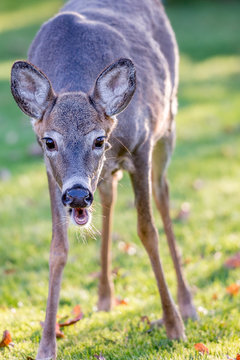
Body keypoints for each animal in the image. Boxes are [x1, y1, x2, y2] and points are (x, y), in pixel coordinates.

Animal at [9, 0, 197, 358]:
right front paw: (46, 345)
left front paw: (174, 326)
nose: (77, 196)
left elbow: (147, 232)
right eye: (49, 141)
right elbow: (57, 248)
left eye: (99, 139)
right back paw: (105, 297)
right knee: (110, 195)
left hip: (168, 123)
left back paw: (187, 304)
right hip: (108, 175)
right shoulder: (51, 173)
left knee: (163, 194)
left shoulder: (142, 145)